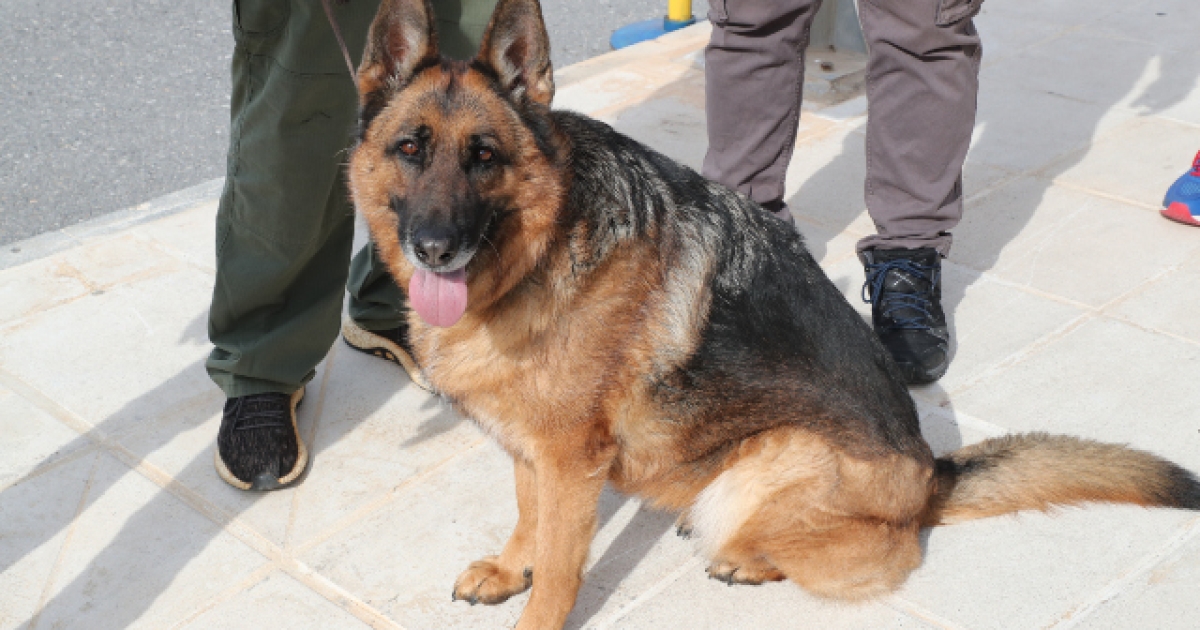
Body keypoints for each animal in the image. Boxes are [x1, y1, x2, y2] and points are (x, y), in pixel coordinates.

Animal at [346, 1, 1200, 627]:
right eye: (410, 148)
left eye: (484, 156)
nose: (434, 248)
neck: (541, 248)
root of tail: (932, 476)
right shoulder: (534, 449)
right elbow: (529, 517)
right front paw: (507, 567)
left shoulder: (571, 462)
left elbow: (561, 567)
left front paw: (535, 603)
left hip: (768, 464)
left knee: (864, 555)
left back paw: (743, 555)